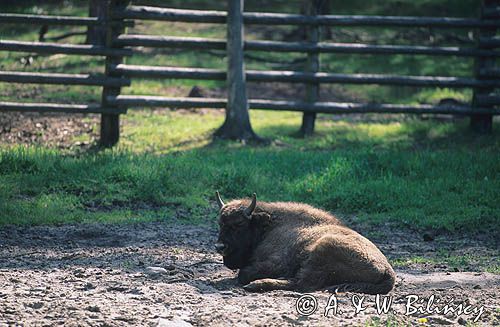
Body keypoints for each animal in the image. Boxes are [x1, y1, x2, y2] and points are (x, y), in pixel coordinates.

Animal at [214, 192, 394, 294]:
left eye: (239, 224)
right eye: (220, 223)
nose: (220, 247)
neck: (270, 225)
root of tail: (388, 270)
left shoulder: (277, 262)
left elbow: (243, 273)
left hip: (324, 248)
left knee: (301, 284)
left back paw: (255, 285)